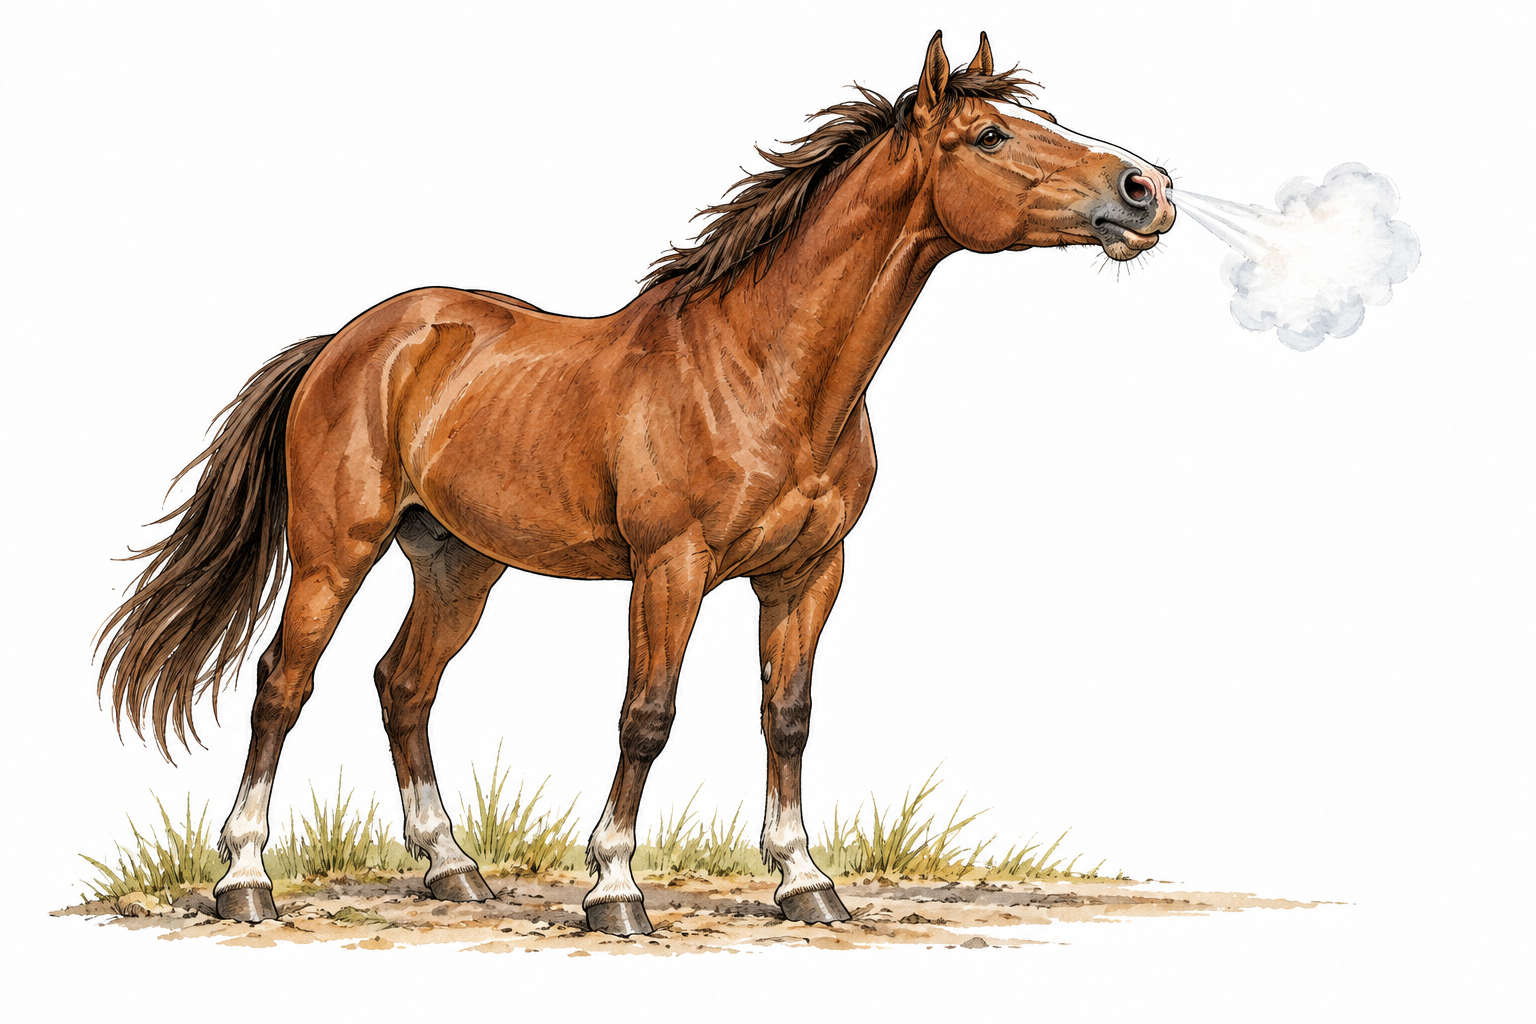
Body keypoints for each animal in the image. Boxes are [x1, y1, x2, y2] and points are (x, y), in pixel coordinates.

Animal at [97, 30, 1175, 936]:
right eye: (991, 134)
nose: (1147, 187)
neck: (762, 369)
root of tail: (350, 342)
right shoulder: (671, 568)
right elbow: (646, 718)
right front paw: (614, 888)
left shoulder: (810, 573)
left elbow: (789, 716)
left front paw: (805, 882)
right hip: (337, 552)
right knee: (283, 685)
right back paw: (245, 880)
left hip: (458, 565)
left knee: (404, 685)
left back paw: (453, 868)